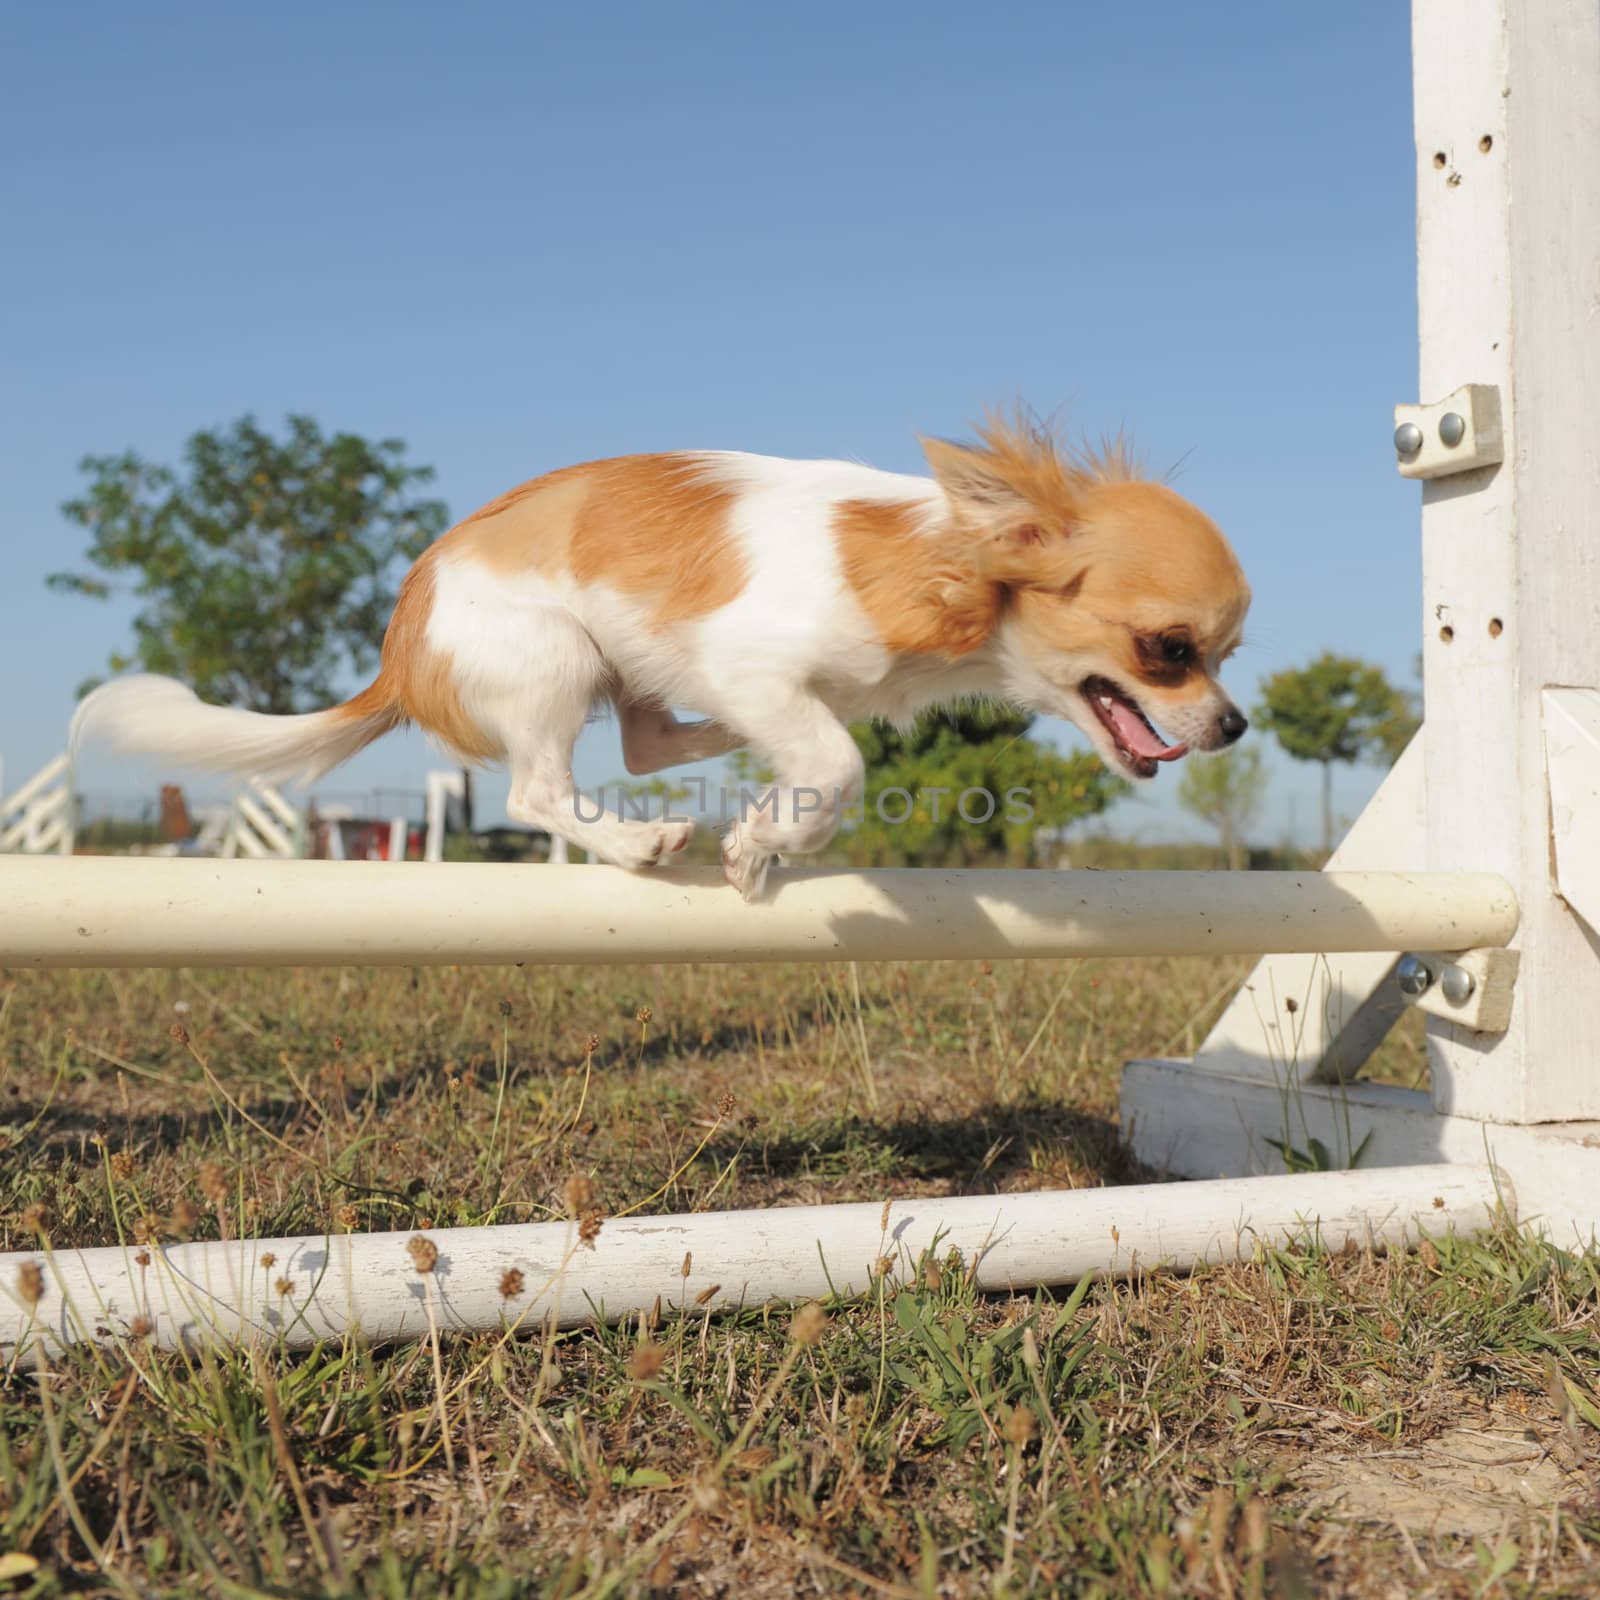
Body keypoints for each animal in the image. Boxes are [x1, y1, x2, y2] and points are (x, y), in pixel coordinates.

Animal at [72, 412, 1248, 896]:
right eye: (1170, 650)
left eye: (1232, 656)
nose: (1235, 723)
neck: (944, 564)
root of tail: (401, 650)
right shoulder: (757, 666)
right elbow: (839, 767)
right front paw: (762, 844)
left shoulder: (791, 688)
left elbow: (824, 751)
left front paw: (766, 835)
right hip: (550, 659)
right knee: (545, 790)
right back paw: (642, 844)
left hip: (610, 670)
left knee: (643, 743)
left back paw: (701, 755)